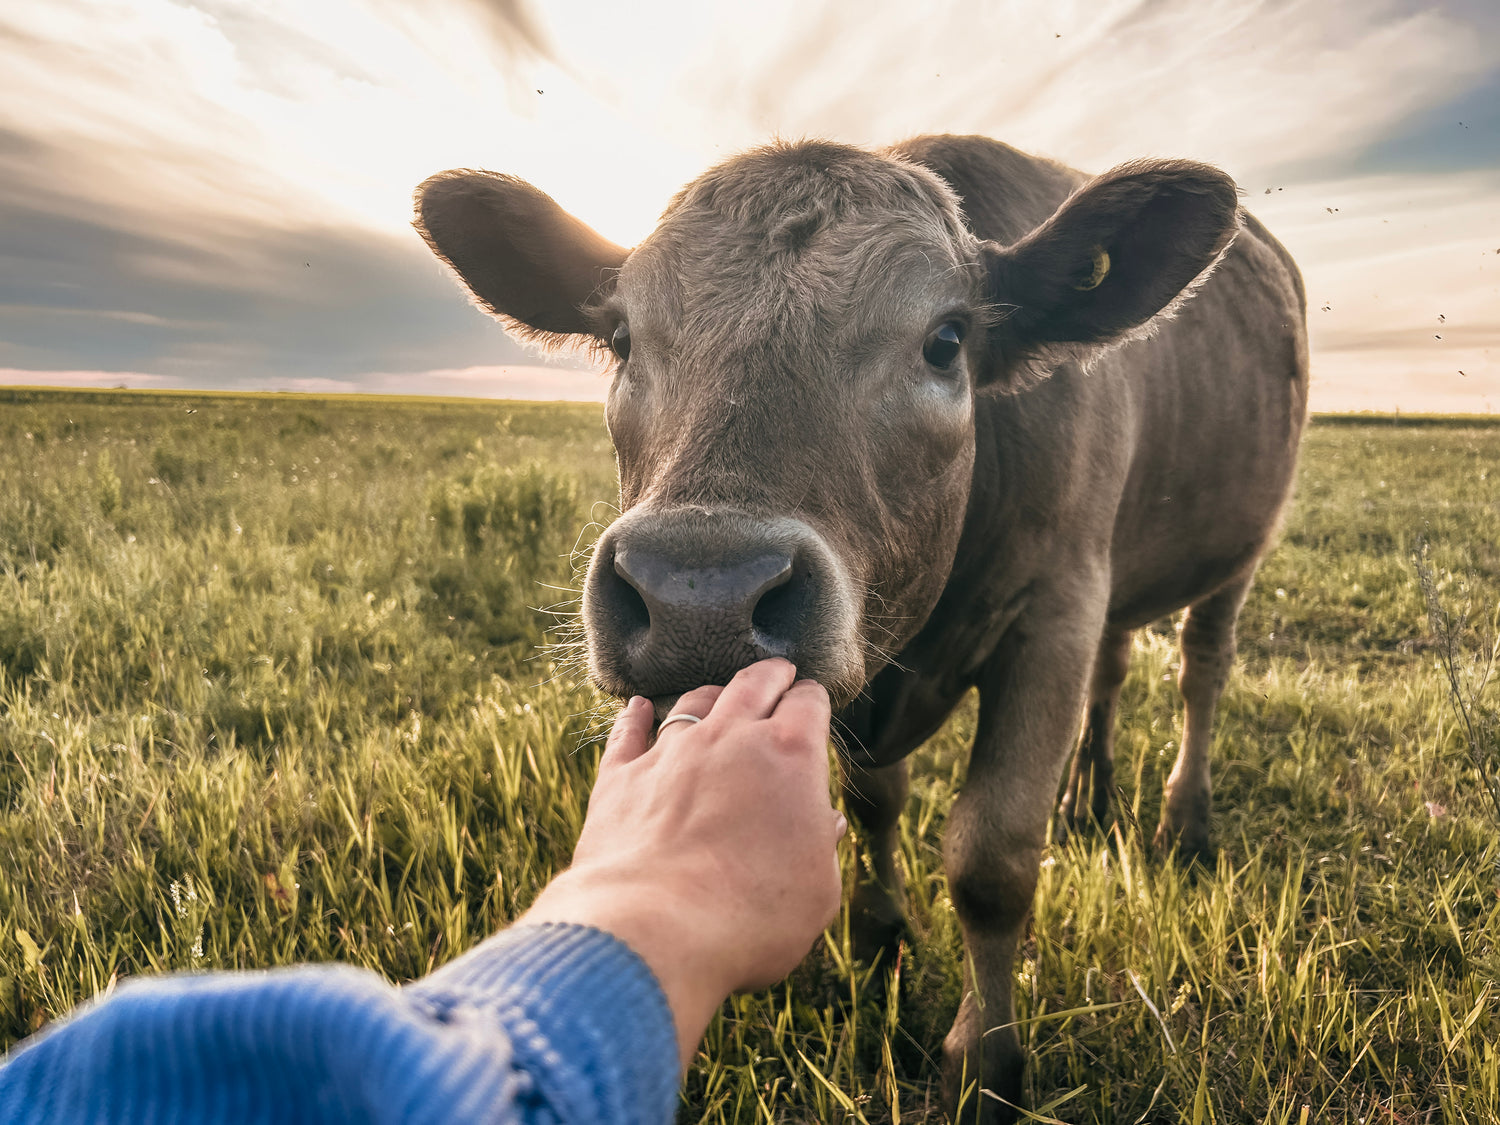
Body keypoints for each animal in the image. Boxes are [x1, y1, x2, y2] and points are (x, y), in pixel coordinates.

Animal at [414, 133, 1308, 1122]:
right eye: (620, 339)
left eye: (947, 340)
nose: (699, 591)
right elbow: (878, 798)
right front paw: (882, 937)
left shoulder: (1057, 611)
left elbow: (991, 859)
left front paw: (984, 1061)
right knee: (1118, 666)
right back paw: (1088, 791)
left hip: (1242, 549)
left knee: (1201, 667)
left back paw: (1184, 818)